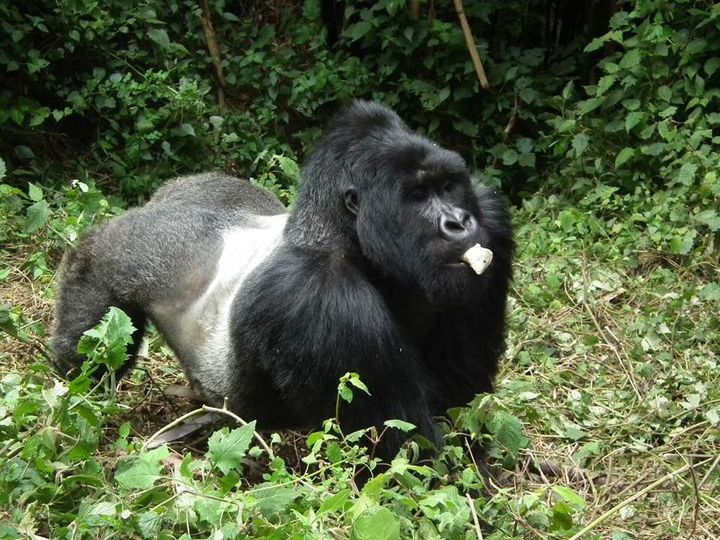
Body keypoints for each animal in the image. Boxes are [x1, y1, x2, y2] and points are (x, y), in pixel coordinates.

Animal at [53, 100, 512, 456]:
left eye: (449, 187)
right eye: (417, 196)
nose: (459, 223)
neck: (339, 234)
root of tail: (166, 193)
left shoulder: (492, 217)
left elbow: (457, 398)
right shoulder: (318, 295)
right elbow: (410, 450)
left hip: (223, 192)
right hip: (149, 245)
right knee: (95, 285)